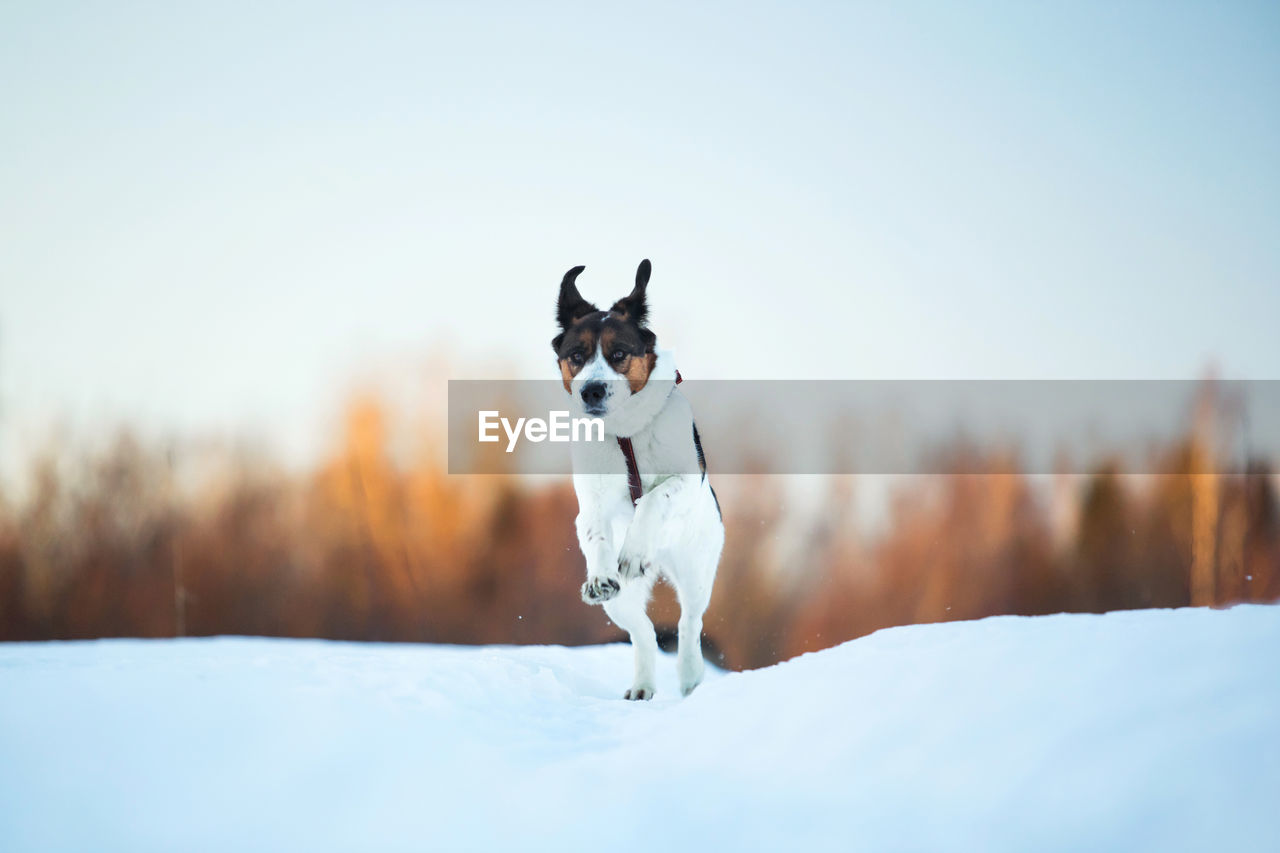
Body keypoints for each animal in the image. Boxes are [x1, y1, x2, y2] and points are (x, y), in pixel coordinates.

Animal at [550, 258, 727, 696]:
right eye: (576, 356)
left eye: (618, 354)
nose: (592, 391)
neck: (625, 432)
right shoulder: (591, 504)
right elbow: (597, 532)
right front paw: (602, 572)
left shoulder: (686, 480)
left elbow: (652, 497)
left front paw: (632, 551)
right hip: (623, 603)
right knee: (643, 631)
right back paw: (643, 686)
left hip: (697, 570)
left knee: (689, 623)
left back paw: (690, 678)